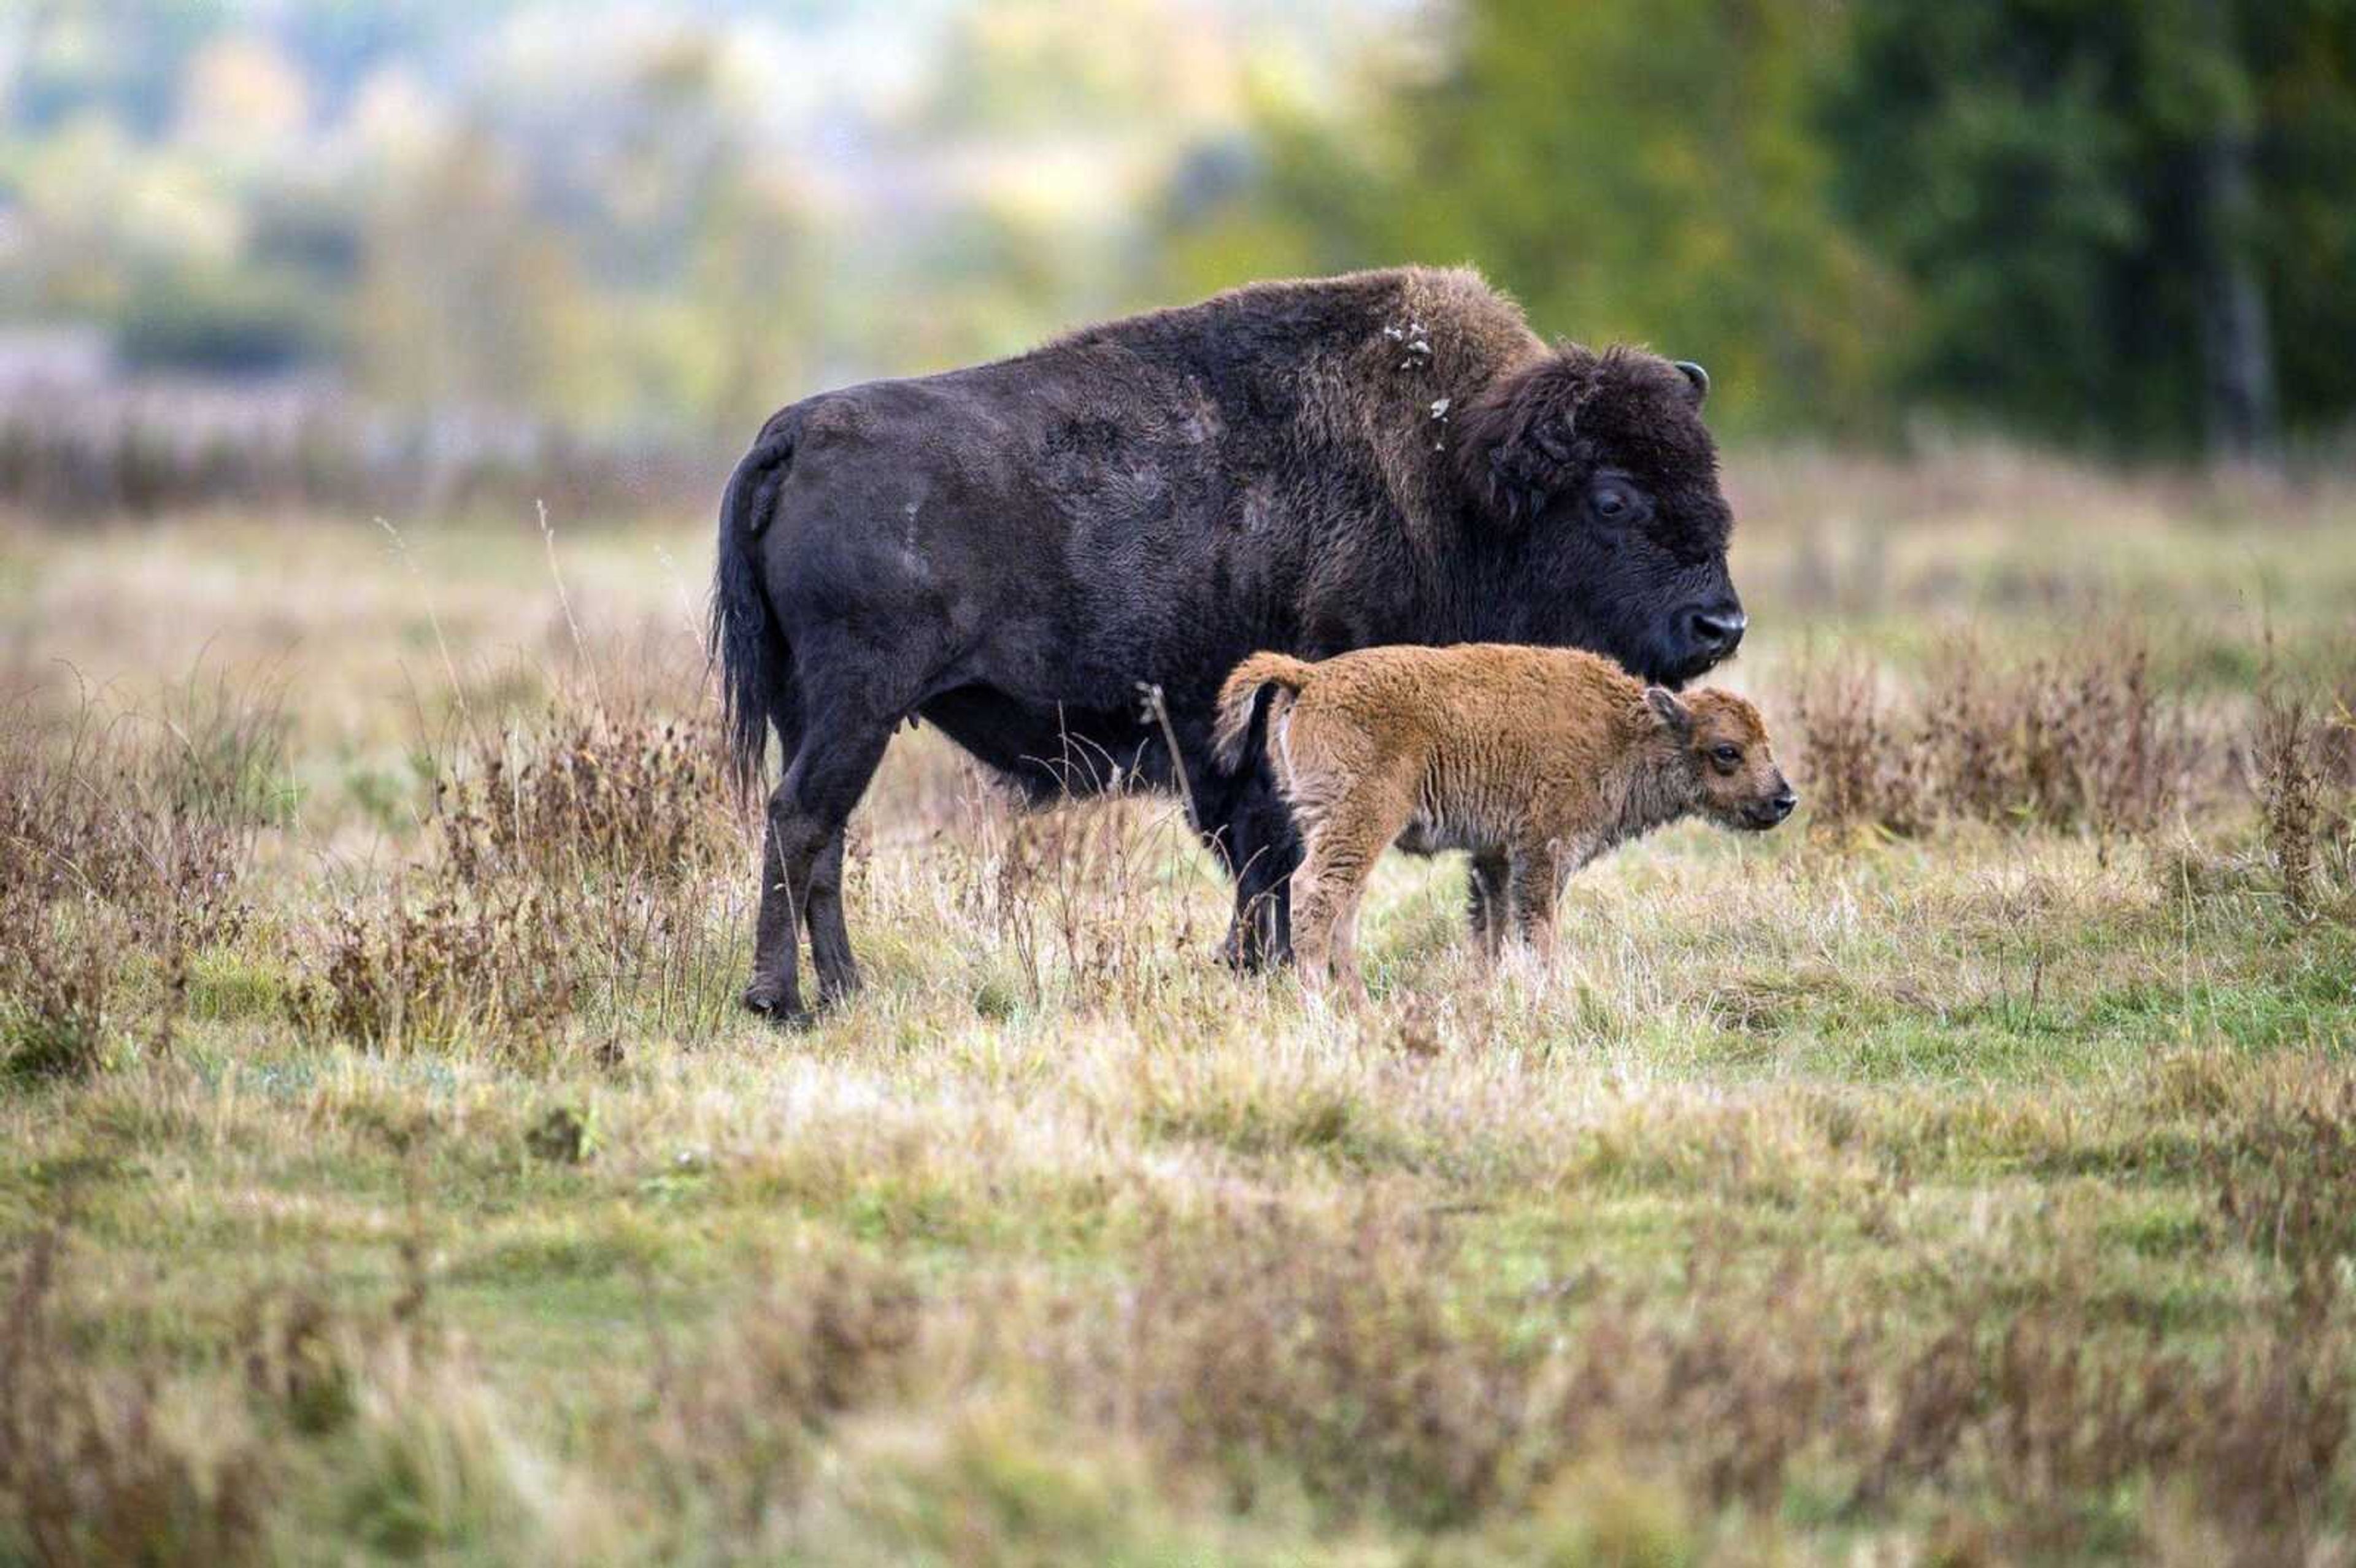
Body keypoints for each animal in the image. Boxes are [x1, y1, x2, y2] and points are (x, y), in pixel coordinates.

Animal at [1225, 640, 1790, 993]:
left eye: (1766, 741)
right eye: (1727, 752)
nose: (1785, 800)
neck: (1625, 730)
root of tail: (1311, 676)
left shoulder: (1494, 856)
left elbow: (1492, 931)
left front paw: (1488, 994)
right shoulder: (1544, 852)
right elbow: (1538, 929)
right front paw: (1551, 996)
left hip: (1333, 826)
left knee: (1344, 907)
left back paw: (1360, 1009)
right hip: (1362, 821)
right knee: (1315, 893)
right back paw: (1319, 1005)